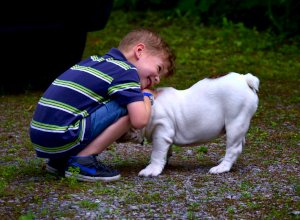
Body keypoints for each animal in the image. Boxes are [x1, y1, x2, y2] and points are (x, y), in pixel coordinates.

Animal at [118, 72, 258, 177]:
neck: (149, 106)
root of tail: (245, 79)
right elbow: (166, 151)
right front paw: (164, 162)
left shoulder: (161, 132)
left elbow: (157, 153)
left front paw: (151, 169)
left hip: (235, 122)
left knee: (233, 148)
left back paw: (222, 167)